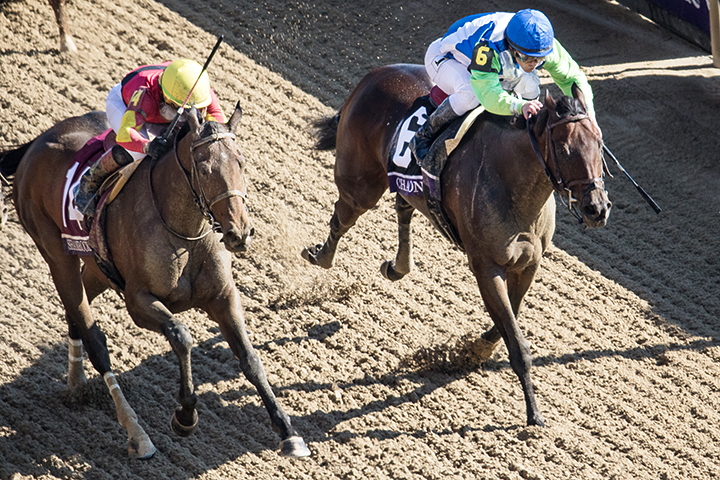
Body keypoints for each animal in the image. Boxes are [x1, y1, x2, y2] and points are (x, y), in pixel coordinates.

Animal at [0, 106, 310, 458]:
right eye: (204, 169)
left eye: (241, 163)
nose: (239, 233)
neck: (184, 231)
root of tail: (36, 143)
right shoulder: (139, 301)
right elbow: (182, 337)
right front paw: (185, 415)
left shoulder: (223, 296)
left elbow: (250, 358)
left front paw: (288, 431)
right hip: (54, 252)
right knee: (94, 338)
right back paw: (137, 433)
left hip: (96, 268)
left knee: (75, 311)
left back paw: (76, 383)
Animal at [302, 64, 611, 427]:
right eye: (564, 150)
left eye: (599, 144)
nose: (597, 209)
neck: (514, 183)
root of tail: (374, 75)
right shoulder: (485, 266)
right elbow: (516, 340)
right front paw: (533, 414)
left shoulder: (528, 263)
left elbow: (510, 317)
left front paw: (476, 349)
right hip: (360, 184)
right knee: (342, 218)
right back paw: (321, 256)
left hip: (402, 182)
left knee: (402, 206)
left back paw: (397, 266)